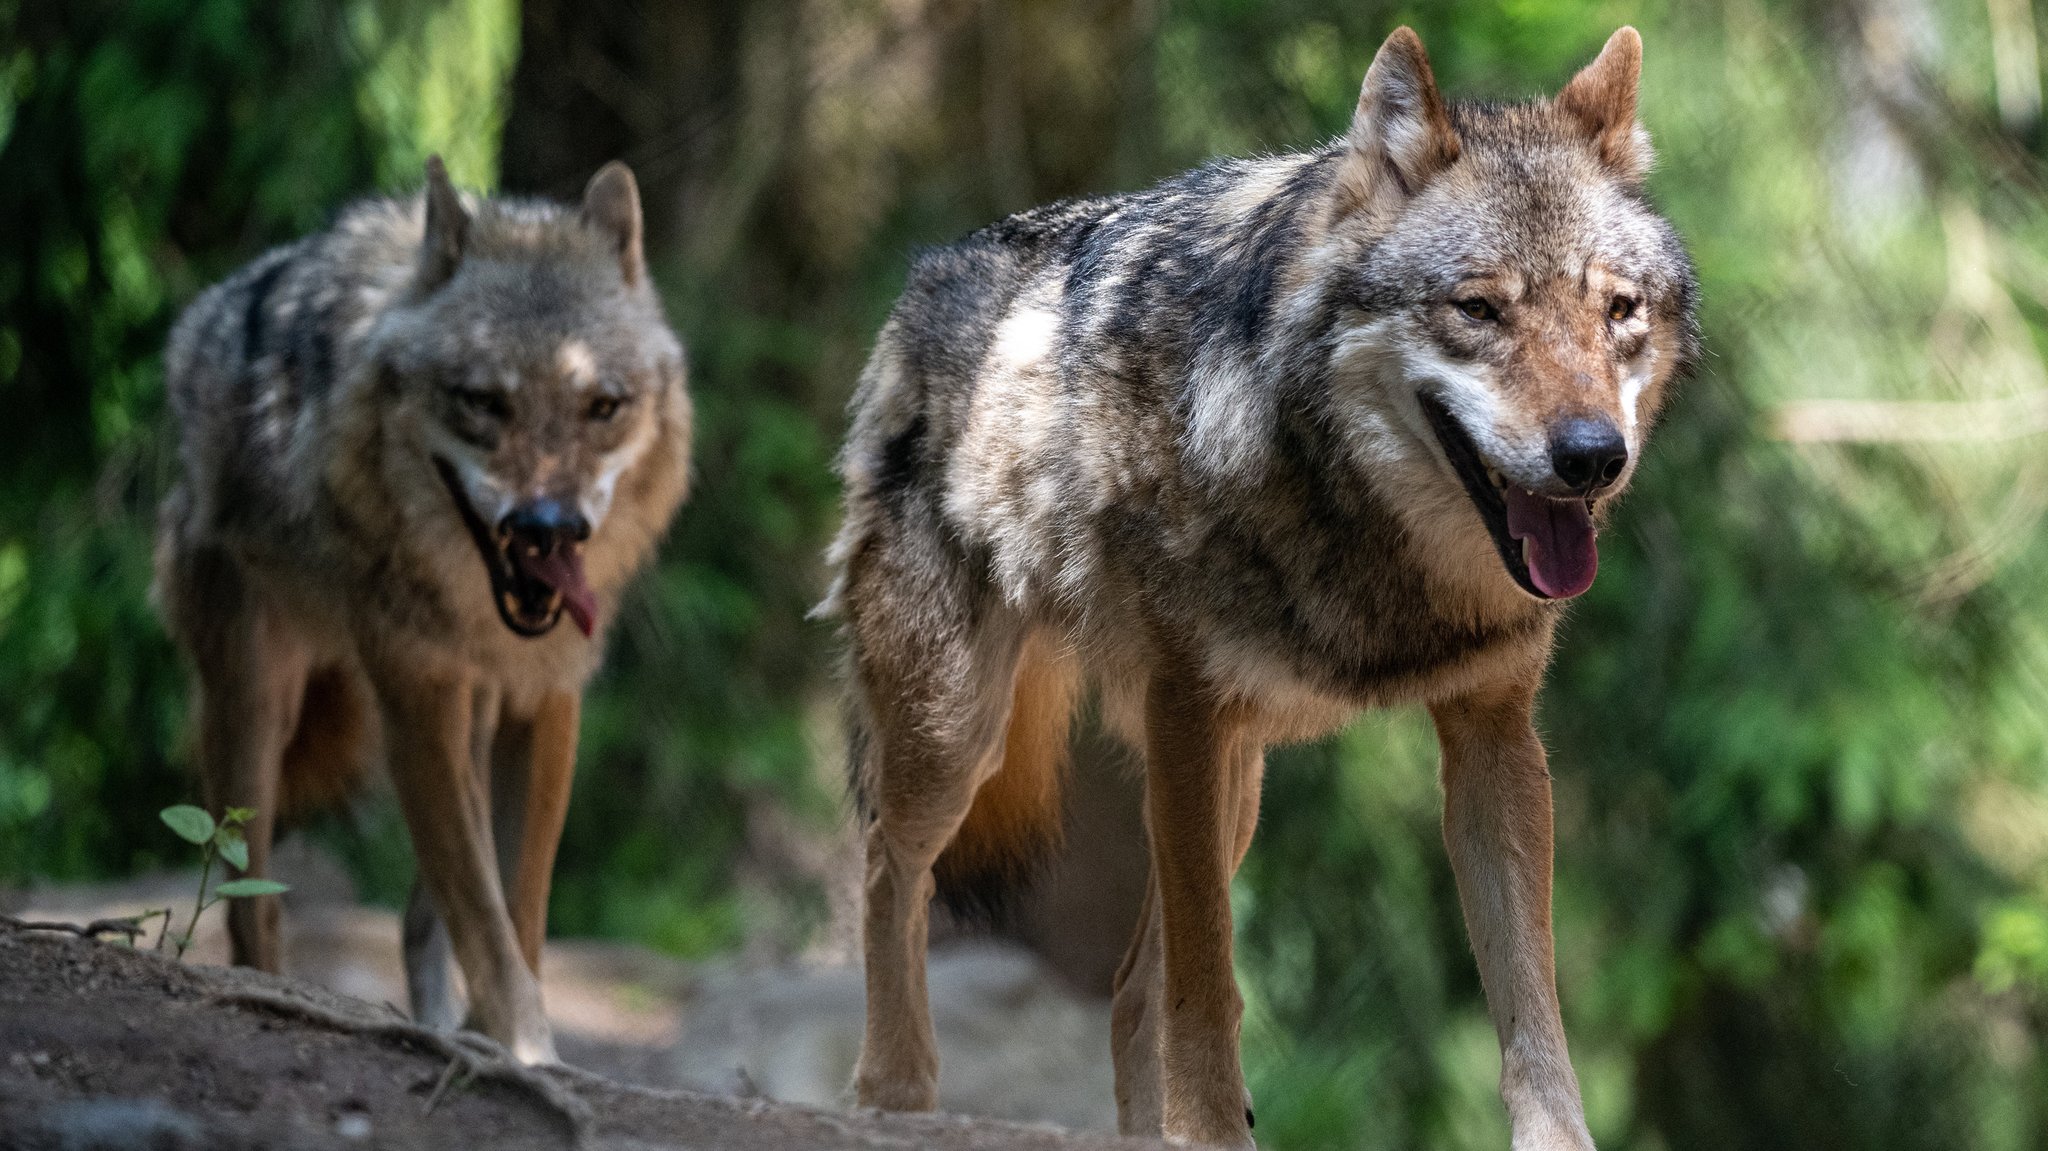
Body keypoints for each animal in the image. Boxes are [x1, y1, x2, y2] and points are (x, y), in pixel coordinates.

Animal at [153, 156, 696, 1064]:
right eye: (481, 401)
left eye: (603, 406)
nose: (547, 528)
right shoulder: (418, 697)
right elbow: (483, 913)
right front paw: (523, 1046)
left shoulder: (545, 701)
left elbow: (518, 908)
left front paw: (505, 1039)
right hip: (255, 714)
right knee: (254, 904)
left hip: (466, 720)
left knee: (415, 917)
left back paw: (443, 1024)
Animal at [823, 26, 1703, 1146]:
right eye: (1478, 309)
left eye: (1617, 311)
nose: (1592, 456)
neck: (1359, 525)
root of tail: (930, 269)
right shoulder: (1187, 715)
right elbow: (1208, 992)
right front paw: (1209, 1128)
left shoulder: (1493, 733)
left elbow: (1532, 1013)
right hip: (959, 737)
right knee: (887, 869)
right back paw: (894, 1090)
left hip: (1229, 783)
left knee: (1125, 988)